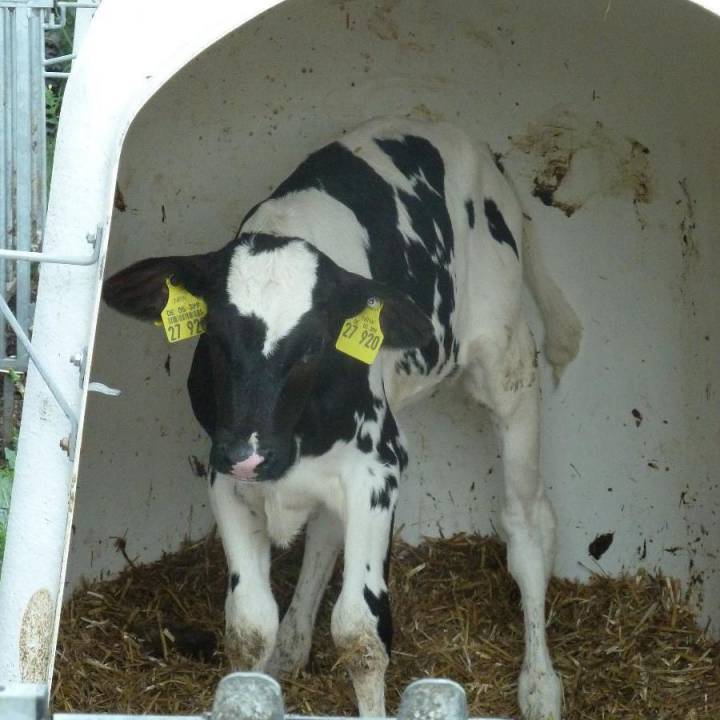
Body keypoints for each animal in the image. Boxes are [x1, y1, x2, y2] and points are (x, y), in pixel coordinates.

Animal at [104, 118, 584, 720]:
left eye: (314, 345)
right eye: (212, 334)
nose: (251, 454)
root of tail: (469, 143)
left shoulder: (378, 469)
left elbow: (359, 630)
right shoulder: (223, 472)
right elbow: (248, 624)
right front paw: (256, 676)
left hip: (507, 363)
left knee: (528, 526)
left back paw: (540, 684)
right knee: (325, 538)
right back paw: (290, 650)